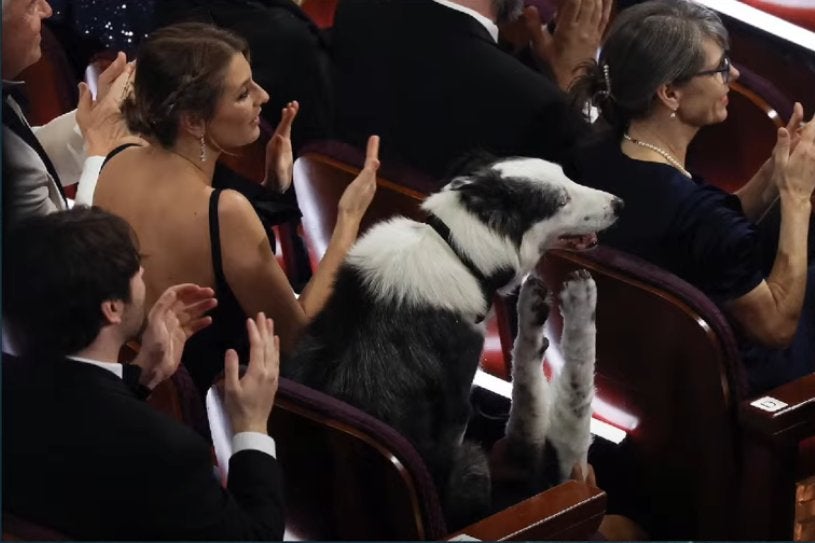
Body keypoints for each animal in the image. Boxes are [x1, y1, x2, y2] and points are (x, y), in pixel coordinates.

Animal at [284, 156, 620, 528]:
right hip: (477, 460)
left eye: (567, 176)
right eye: (561, 200)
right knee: (560, 415)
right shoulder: (458, 412)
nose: (619, 204)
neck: (456, 250)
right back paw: (577, 302)